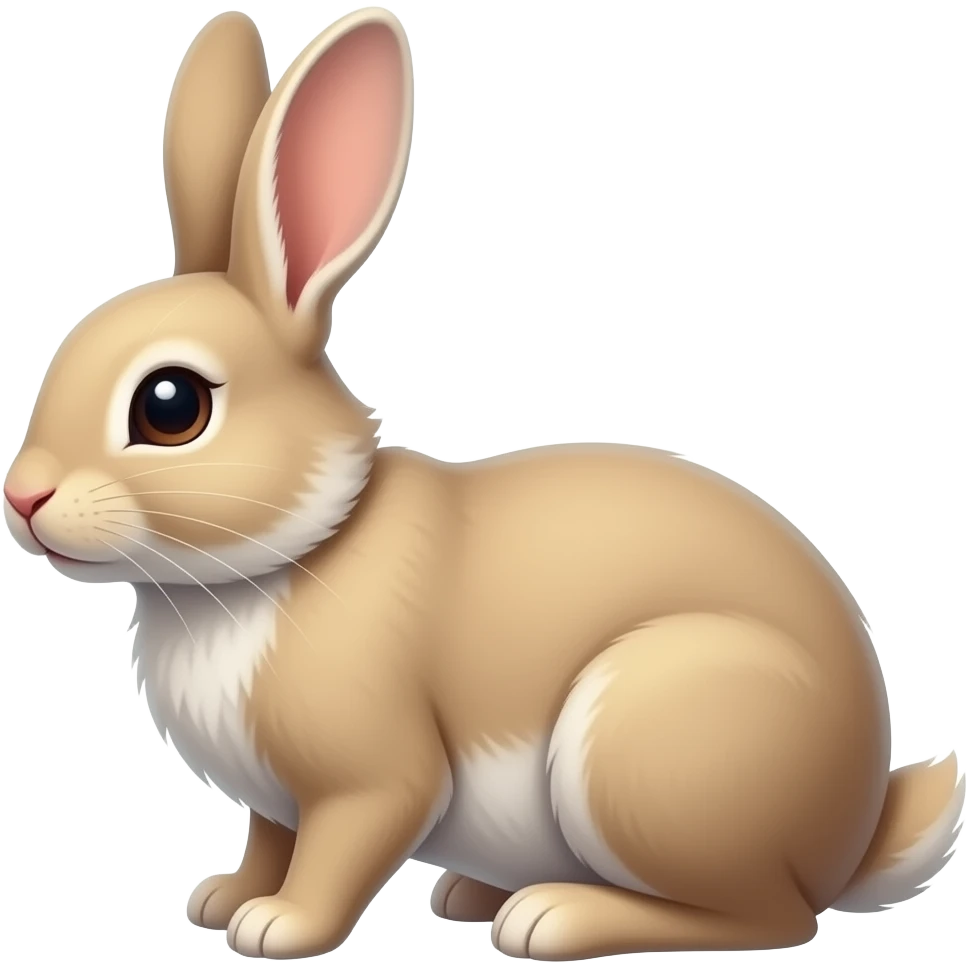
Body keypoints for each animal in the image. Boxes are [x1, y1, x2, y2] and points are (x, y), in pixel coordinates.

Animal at [3, 7, 963, 962]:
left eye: (172, 405)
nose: (24, 497)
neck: (297, 547)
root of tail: (854, 830)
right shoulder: (274, 799)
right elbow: (270, 838)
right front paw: (223, 897)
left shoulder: (372, 777)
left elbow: (340, 849)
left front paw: (278, 926)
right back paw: (474, 892)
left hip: (646, 741)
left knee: (768, 915)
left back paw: (552, 916)